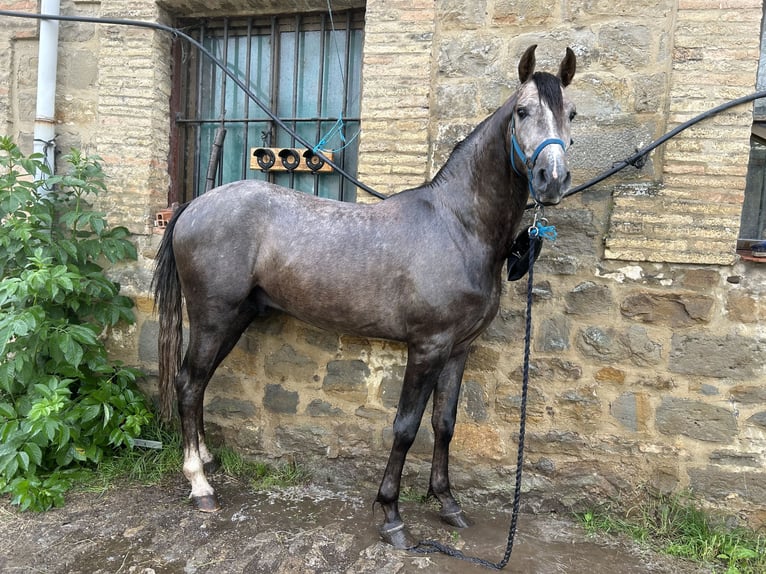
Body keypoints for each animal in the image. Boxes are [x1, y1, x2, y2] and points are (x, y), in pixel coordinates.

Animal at [152, 44, 576, 549]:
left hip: (234, 319)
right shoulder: (428, 347)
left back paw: (205, 462)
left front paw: (447, 503)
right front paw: (392, 515)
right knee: (188, 384)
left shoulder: (459, 350)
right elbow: (406, 427)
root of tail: (193, 206)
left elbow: (445, 424)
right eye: (523, 111)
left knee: (198, 385)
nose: (552, 178)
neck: (457, 225)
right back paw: (200, 485)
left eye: (571, 113)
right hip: (213, 318)